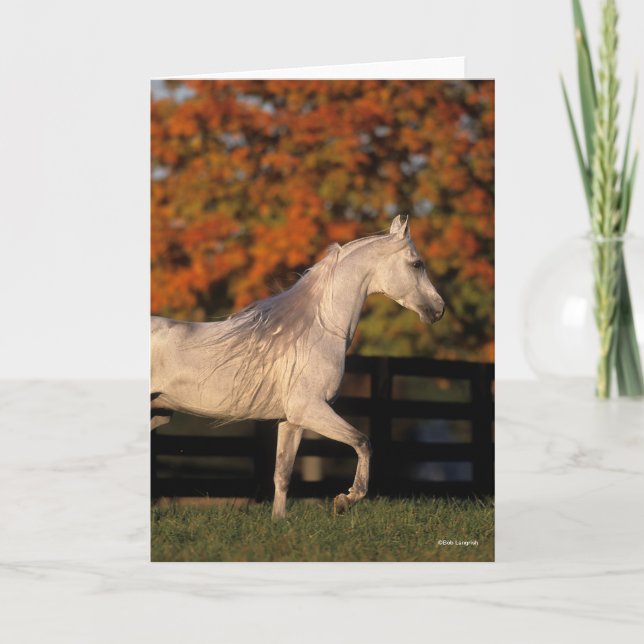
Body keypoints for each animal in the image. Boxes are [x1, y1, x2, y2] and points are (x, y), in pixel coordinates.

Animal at [151, 214, 445, 519]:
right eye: (417, 264)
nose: (439, 309)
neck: (316, 331)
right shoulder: (311, 409)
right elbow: (363, 442)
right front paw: (345, 500)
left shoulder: (291, 421)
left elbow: (282, 474)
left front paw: (278, 521)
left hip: (157, 413)